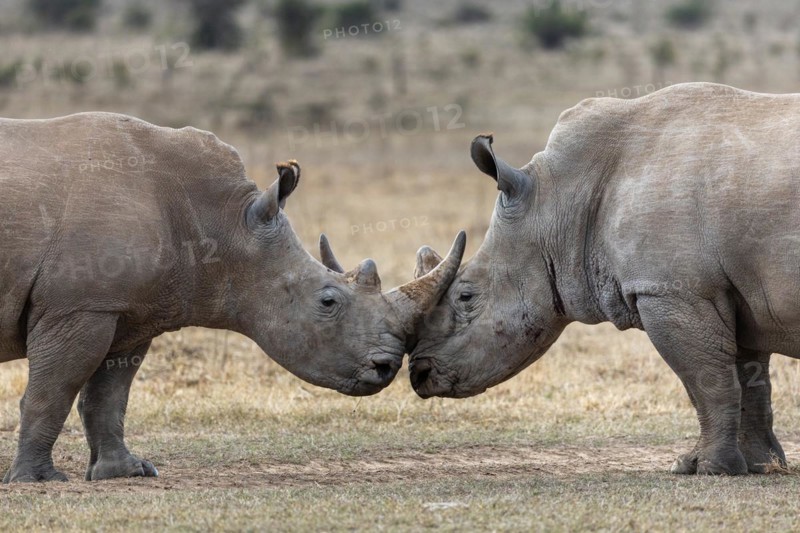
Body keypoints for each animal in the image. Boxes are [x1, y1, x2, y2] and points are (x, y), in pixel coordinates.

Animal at [0, 112, 466, 483]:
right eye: (327, 302)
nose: (386, 366)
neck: (225, 224)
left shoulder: (128, 310)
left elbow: (109, 395)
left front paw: (126, 472)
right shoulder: (78, 306)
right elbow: (53, 391)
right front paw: (38, 481)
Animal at [409, 83, 800, 475]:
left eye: (466, 296)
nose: (418, 374)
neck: (559, 200)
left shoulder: (673, 292)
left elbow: (707, 382)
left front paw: (710, 469)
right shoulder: (736, 289)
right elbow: (748, 382)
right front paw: (758, 465)